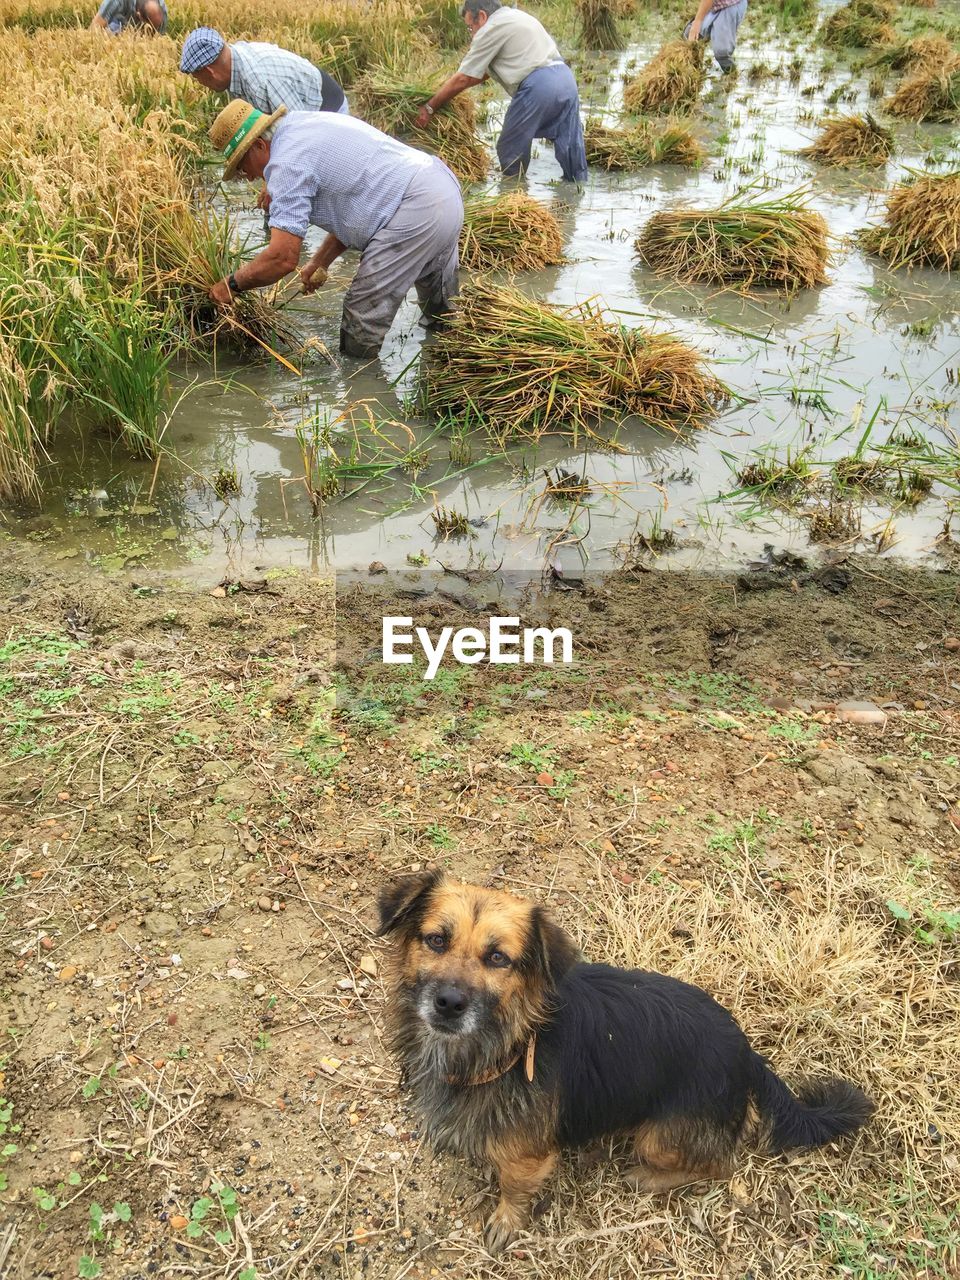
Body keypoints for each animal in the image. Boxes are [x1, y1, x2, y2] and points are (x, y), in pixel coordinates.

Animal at [378, 870, 880, 1249]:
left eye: (498, 957)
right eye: (436, 940)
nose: (448, 1003)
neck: (511, 1041)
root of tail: (746, 1052)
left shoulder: (528, 1156)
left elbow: (514, 1187)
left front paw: (506, 1221)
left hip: (659, 1137)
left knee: (720, 1164)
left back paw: (649, 1177)